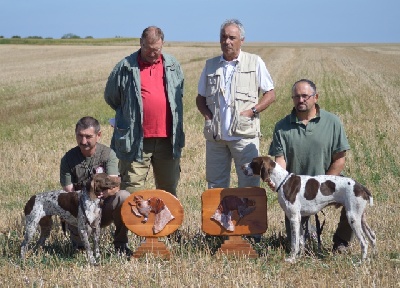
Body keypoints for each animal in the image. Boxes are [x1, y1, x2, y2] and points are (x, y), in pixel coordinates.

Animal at [242, 156, 376, 262]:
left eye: (253, 162)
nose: (242, 166)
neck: (282, 181)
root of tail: (361, 186)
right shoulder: (301, 218)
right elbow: (301, 241)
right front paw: (299, 257)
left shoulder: (294, 218)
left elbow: (295, 242)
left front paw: (291, 259)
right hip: (360, 218)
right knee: (373, 237)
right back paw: (374, 257)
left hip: (352, 217)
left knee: (364, 242)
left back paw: (361, 262)